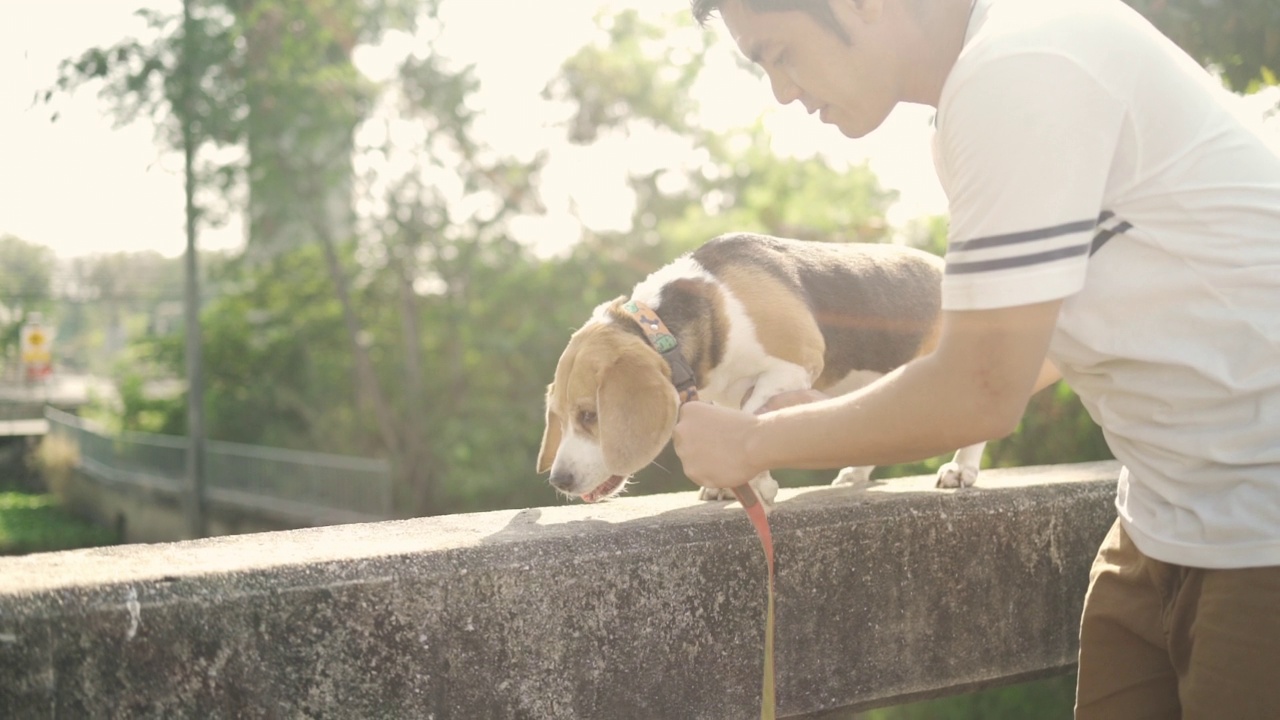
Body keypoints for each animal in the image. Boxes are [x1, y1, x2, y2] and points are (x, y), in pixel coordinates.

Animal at [535, 233, 983, 502]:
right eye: (559, 416)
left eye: (589, 415)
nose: (559, 480)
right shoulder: (722, 394)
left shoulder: (795, 363)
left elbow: (752, 418)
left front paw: (759, 485)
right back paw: (856, 473)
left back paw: (960, 470)